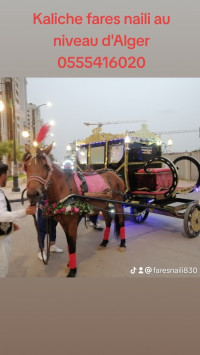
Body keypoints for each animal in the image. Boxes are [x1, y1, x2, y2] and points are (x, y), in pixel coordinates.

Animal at [23, 143, 126, 276]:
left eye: (45, 165)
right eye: (26, 166)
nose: (32, 194)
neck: (63, 188)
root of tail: (114, 174)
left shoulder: (72, 222)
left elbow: (72, 244)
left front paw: (72, 270)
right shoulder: (64, 222)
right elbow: (69, 243)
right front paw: (70, 264)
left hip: (118, 201)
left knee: (121, 220)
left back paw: (123, 243)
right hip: (103, 205)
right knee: (108, 221)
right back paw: (104, 242)